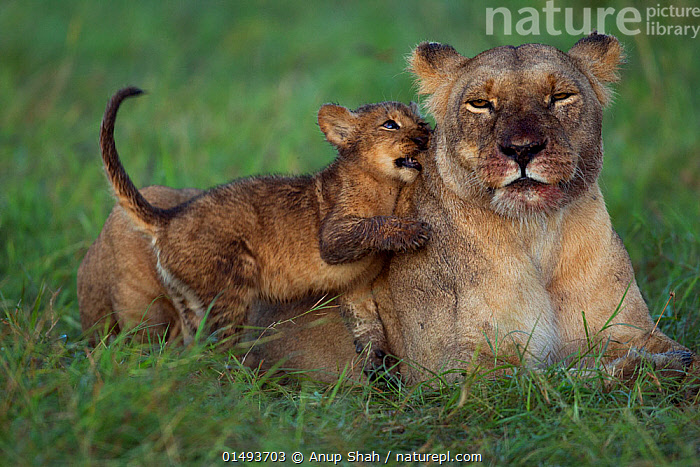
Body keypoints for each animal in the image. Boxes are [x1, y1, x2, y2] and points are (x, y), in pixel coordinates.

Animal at [78, 88, 431, 363]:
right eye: (389, 124)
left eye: (420, 121)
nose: (425, 135)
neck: (385, 186)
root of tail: (170, 218)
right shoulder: (332, 236)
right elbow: (372, 225)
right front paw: (414, 231)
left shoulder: (355, 289)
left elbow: (368, 328)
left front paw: (380, 371)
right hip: (230, 285)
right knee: (218, 346)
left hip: (188, 300)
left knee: (190, 351)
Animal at [247, 33, 698, 385]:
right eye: (480, 104)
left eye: (560, 97)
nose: (522, 149)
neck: (536, 233)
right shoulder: (456, 369)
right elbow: (555, 379)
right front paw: (652, 369)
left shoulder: (628, 330)